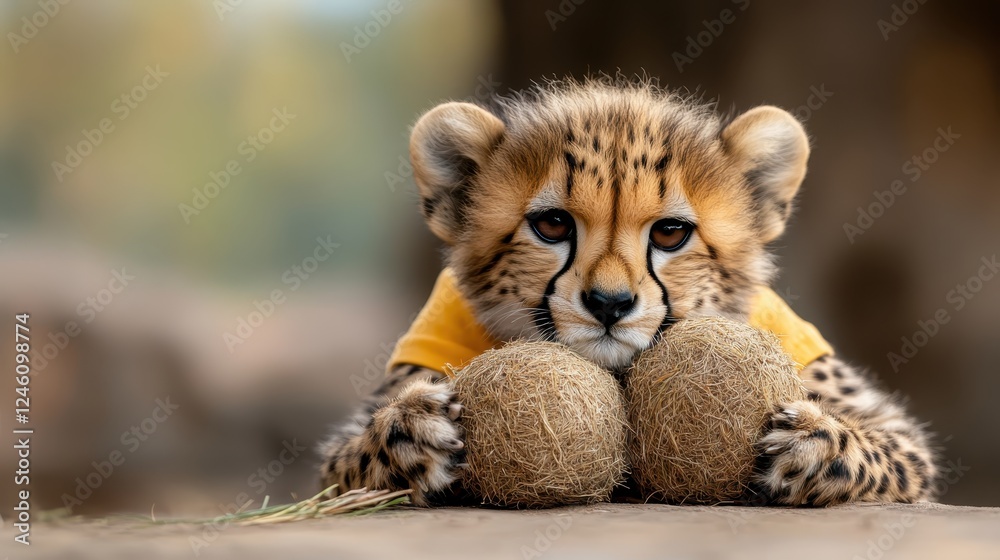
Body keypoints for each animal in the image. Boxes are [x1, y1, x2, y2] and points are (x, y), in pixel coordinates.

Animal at [318, 77, 937, 507]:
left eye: (669, 233)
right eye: (552, 226)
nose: (610, 305)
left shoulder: (885, 424)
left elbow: (890, 450)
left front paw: (817, 445)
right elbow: (354, 458)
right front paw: (412, 432)